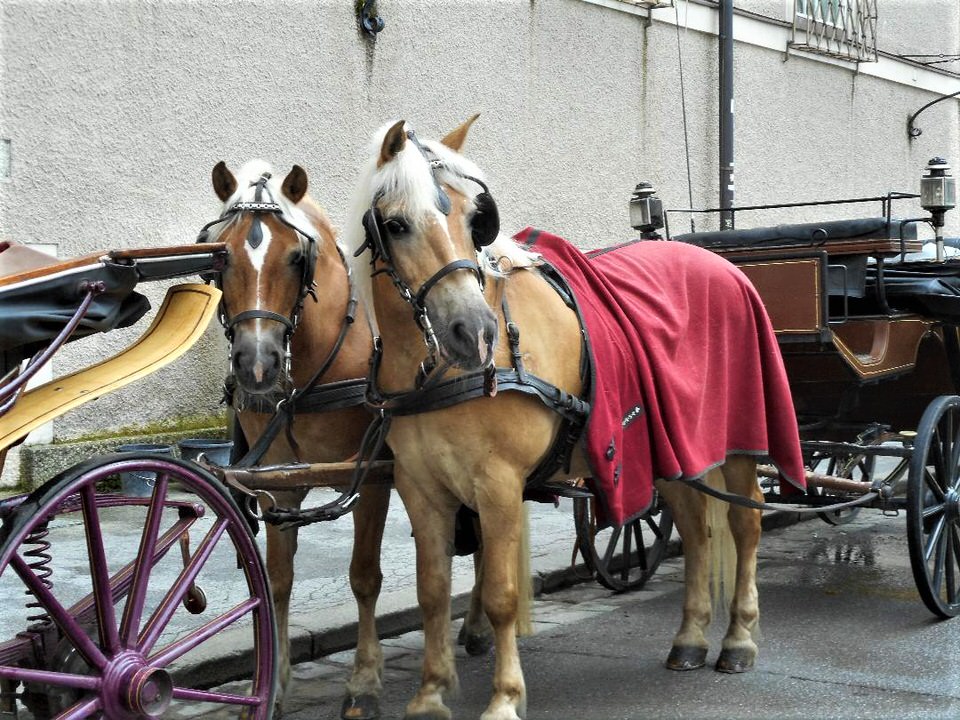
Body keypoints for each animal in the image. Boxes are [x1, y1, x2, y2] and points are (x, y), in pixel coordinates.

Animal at [201, 163, 488, 720]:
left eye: (297, 257)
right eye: (220, 256)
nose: (257, 364)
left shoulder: (370, 479)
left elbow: (364, 576)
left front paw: (363, 683)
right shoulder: (278, 485)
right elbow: (277, 581)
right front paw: (276, 684)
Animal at [346, 118, 804, 720]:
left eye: (474, 218)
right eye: (395, 224)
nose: (475, 332)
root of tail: (720, 264)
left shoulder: (498, 484)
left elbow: (501, 596)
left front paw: (504, 698)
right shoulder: (420, 487)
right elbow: (433, 592)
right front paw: (430, 694)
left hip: (737, 444)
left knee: (744, 523)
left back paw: (738, 639)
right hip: (667, 451)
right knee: (696, 529)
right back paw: (690, 638)